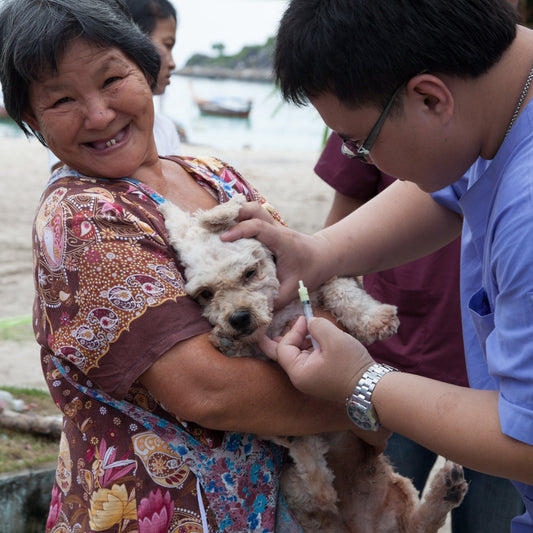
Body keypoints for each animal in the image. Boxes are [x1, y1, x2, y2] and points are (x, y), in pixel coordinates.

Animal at [160, 194, 468, 532]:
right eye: (205, 293)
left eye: (250, 273)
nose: (238, 319)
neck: (277, 316)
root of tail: (355, 524)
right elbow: (254, 351)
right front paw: (230, 343)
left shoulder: (314, 277)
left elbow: (340, 289)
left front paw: (374, 319)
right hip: (295, 486)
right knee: (321, 494)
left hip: (396, 489)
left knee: (413, 521)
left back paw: (447, 489)